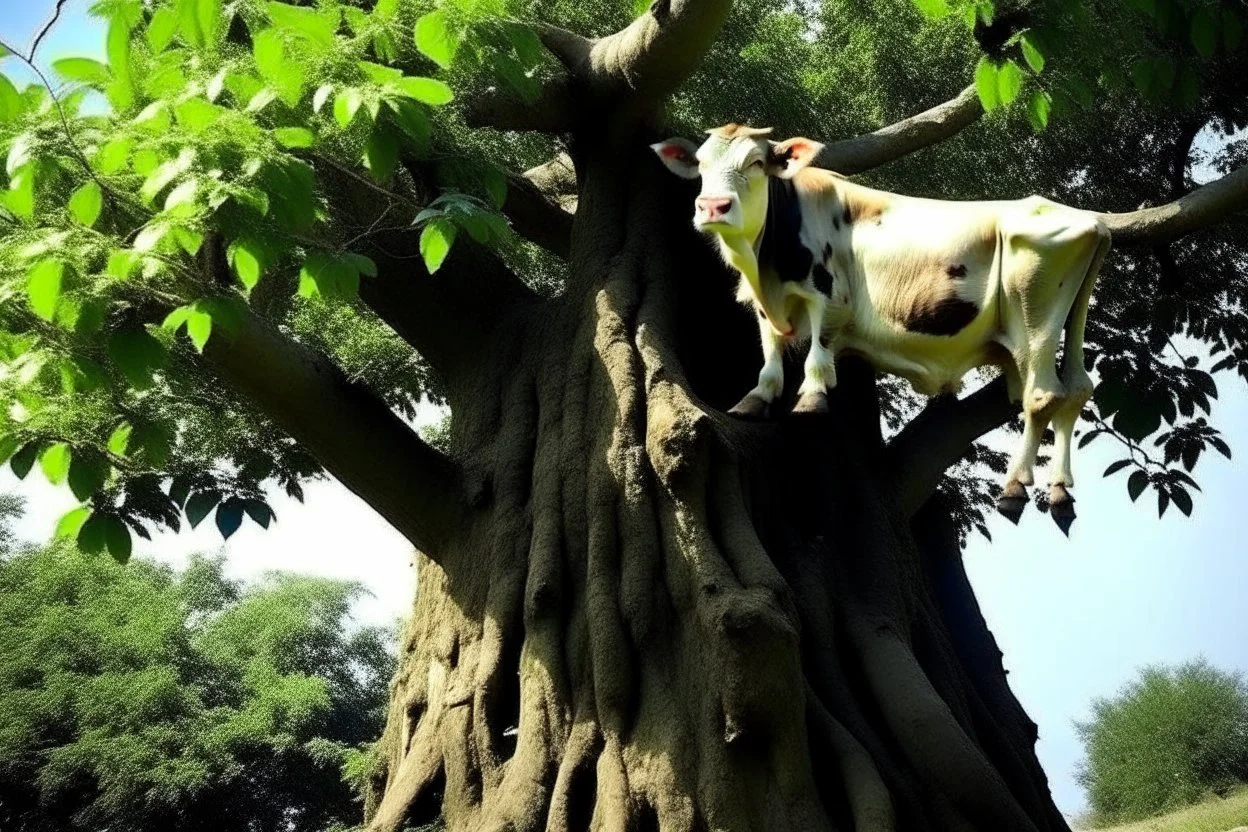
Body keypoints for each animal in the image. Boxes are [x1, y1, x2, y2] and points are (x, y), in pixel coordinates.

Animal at [653, 122, 1113, 526]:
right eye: (700, 164)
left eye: (755, 163)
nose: (713, 207)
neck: (764, 266)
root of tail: (1092, 222)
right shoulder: (769, 305)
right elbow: (770, 351)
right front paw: (756, 398)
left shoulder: (829, 293)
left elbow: (819, 348)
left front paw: (811, 397)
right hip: (1068, 319)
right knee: (1076, 390)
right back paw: (1059, 492)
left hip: (1033, 316)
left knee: (1042, 395)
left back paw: (1015, 487)